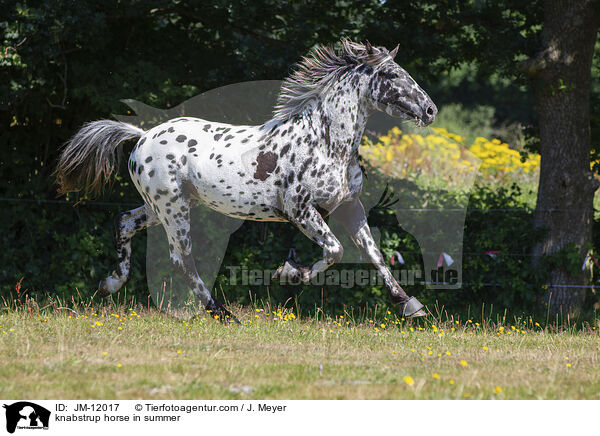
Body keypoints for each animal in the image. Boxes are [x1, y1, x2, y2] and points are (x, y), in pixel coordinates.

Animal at [55, 39, 436, 322]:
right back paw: (222, 313)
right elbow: (335, 250)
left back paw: (110, 284)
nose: (430, 110)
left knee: (124, 222)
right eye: (391, 74)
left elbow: (374, 254)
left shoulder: (349, 206)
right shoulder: (300, 211)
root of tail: (142, 136)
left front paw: (409, 305)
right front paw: (287, 273)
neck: (327, 141)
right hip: (173, 208)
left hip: (161, 206)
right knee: (182, 259)